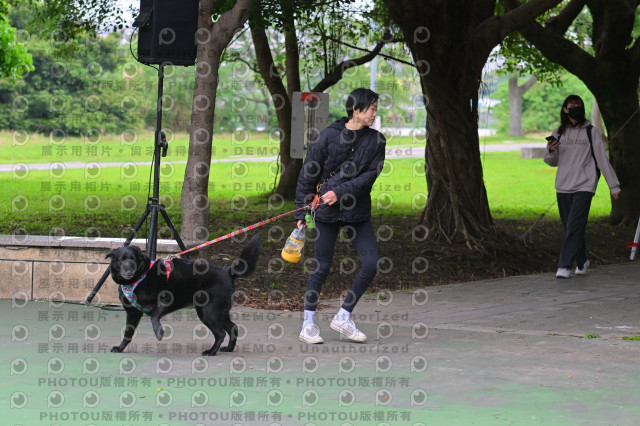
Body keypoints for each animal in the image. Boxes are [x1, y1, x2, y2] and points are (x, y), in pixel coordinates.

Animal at [106, 234, 261, 356]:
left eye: (133, 259)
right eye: (121, 260)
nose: (128, 271)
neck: (139, 277)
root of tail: (227, 271)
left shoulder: (166, 297)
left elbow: (155, 315)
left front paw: (159, 332)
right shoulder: (132, 313)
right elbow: (128, 333)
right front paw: (120, 348)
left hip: (207, 312)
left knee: (221, 333)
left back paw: (211, 352)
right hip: (219, 312)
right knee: (233, 328)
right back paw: (228, 349)